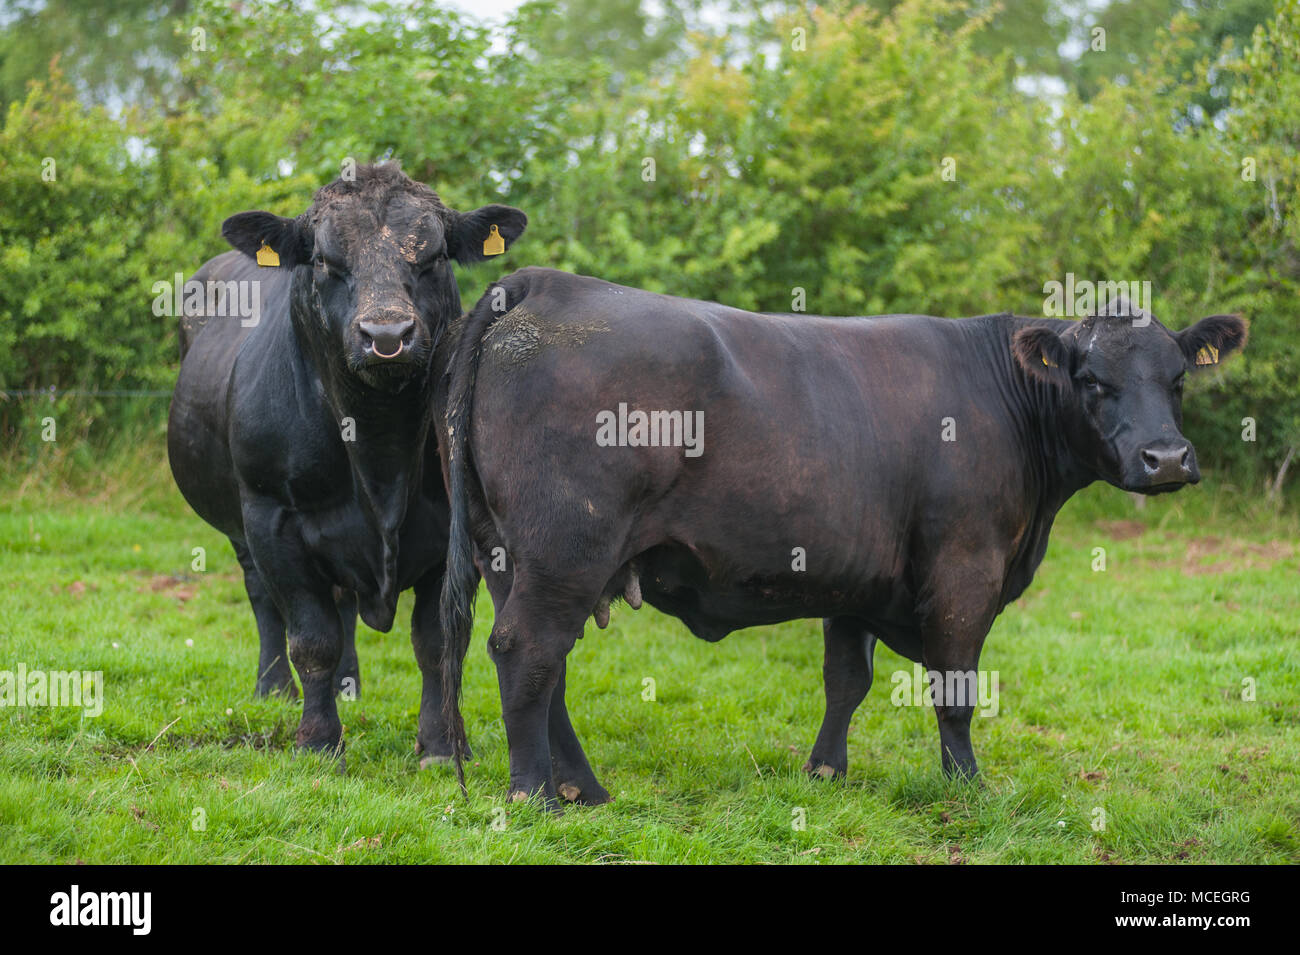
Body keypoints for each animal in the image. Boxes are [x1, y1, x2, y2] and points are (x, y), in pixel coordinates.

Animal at [168, 163, 525, 766]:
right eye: (323, 261)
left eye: (433, 257)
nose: (387, 335)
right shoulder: (273, 518)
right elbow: (312, 638)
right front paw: (317, 739)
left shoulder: (457, 527)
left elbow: (434, 642)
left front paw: (440, 744)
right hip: (242, 525)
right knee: (265, 600)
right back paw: (275, 688)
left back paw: (347, 685)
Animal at [437, 266, 1246, 805]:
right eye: (1092, 380)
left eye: (1177, 378)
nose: (1167, 459)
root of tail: (548, 284)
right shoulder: (966, 567)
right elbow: (955, 687)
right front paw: (968, 789)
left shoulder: (857, 575)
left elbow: (846, 679)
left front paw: (826, 771)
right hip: (565, 551)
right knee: (528, 653)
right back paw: (537, 795)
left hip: (511, 554)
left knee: (542, 667)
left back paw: (584, 788)